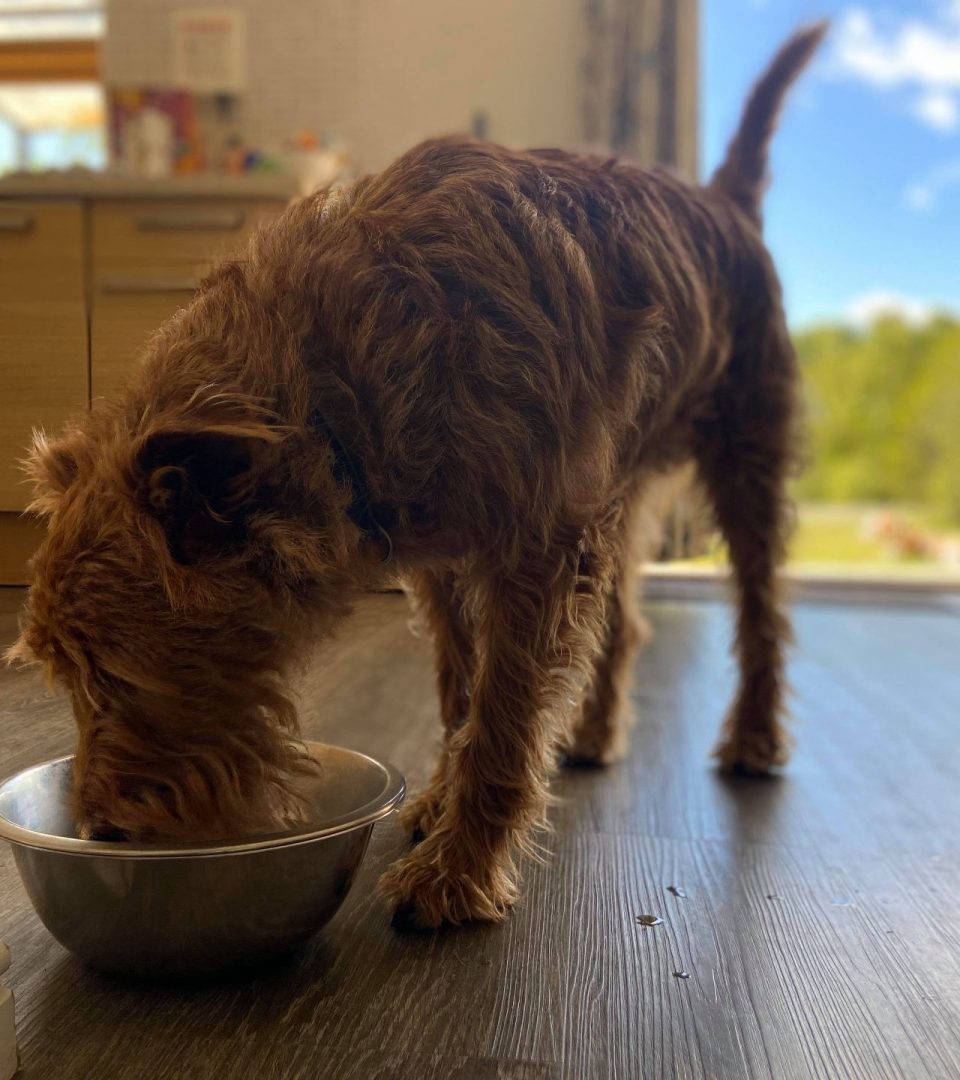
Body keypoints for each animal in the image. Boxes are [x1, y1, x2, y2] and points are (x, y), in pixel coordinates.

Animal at [9, 25, 825, 928]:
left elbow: (504, 716)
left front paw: (458, 870)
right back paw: (593, 730)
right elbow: (462, 689)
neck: (336, 379)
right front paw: (441, 801)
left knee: (762, 614)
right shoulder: (445, 557)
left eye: (117, 675)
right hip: (621, 486)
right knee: (625, 623)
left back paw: (753, 738)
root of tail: (724, 202)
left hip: (746, 461)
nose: (102, 830)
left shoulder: (537, 548)